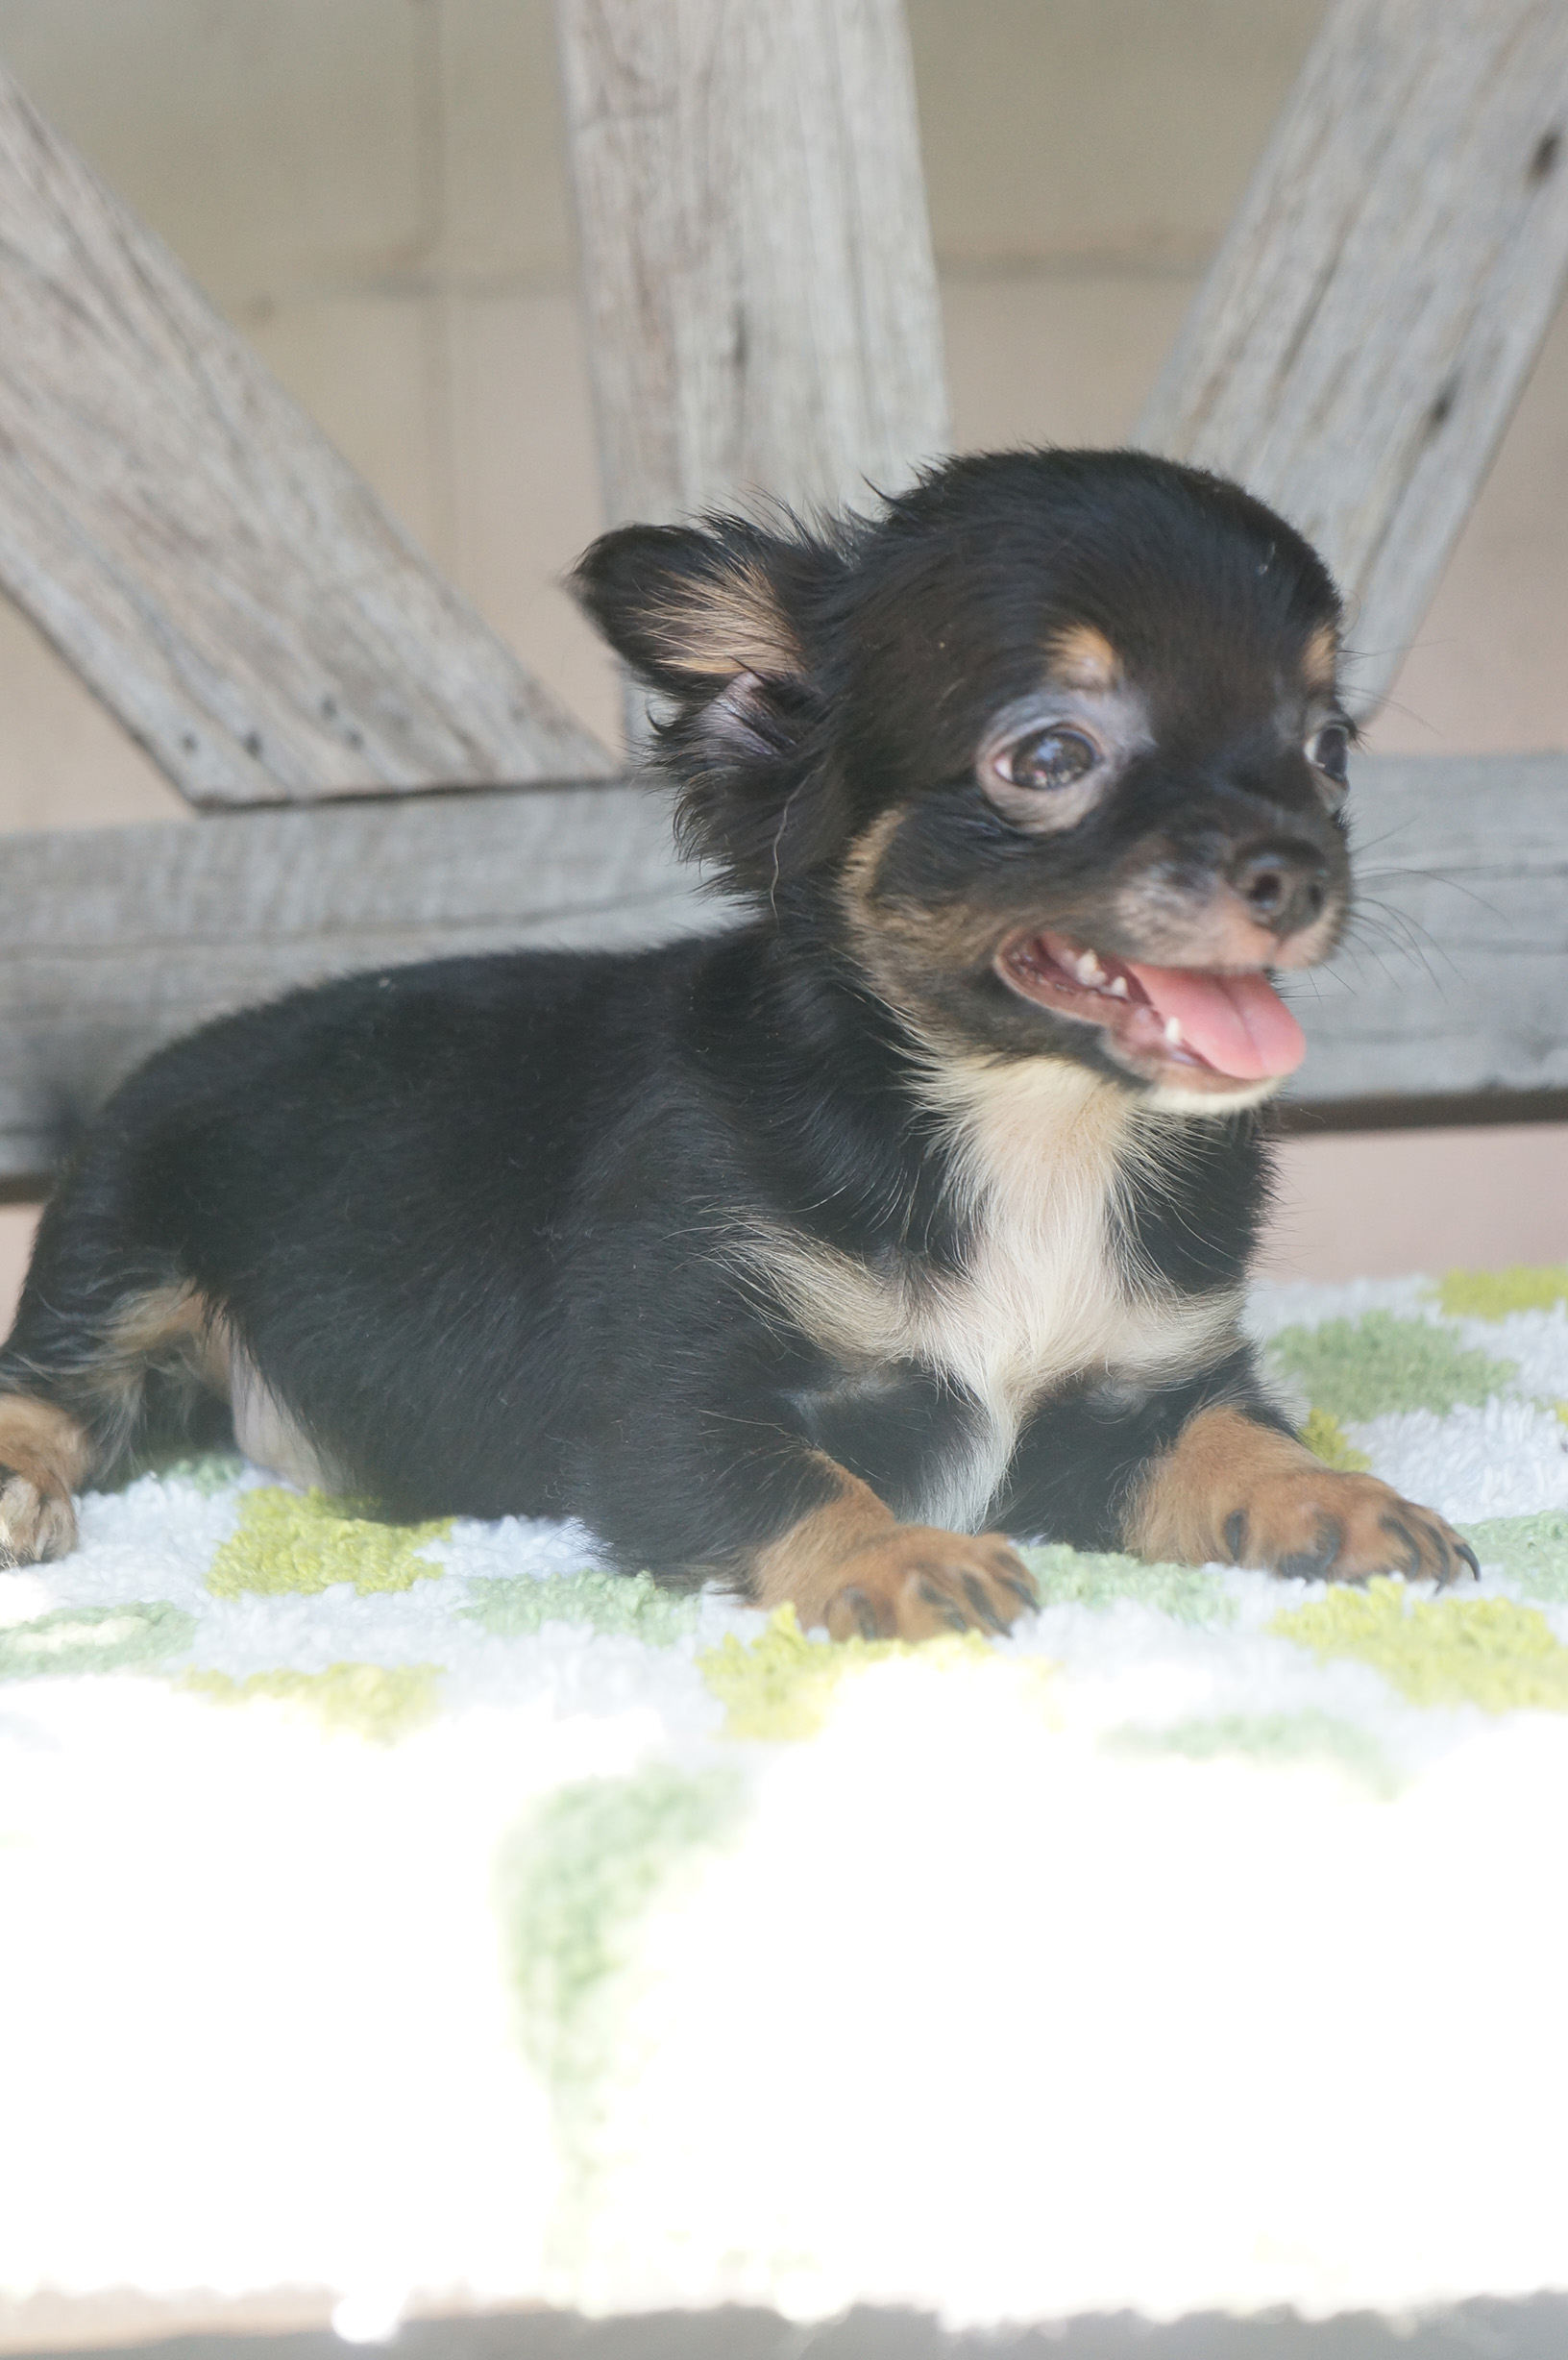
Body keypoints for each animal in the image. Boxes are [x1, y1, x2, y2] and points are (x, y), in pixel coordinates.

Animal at [0, 449, 1475, 1637]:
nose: (1300, 869)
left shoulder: (1138, 1394)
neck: (1023, 1127)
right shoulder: (674, 1404)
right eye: (1050, 758)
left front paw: (1336, 1498)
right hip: (119, 1247)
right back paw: (21, 1484)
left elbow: (1232, 1442)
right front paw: (901, 1559)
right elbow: (801, 1479)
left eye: (1327, 751)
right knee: (48, 1388)